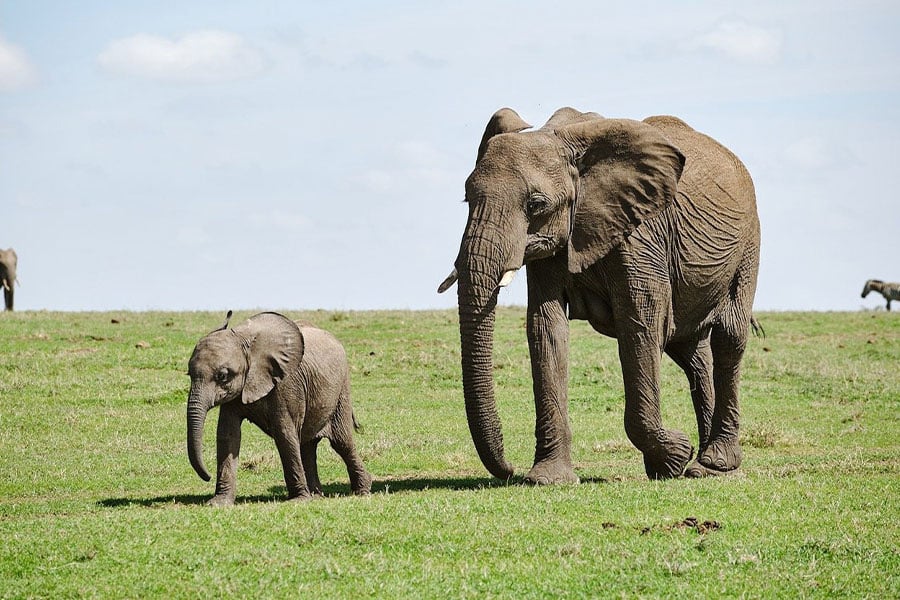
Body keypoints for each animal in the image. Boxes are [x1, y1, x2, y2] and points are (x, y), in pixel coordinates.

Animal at [186, 311, 372, 505]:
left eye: (222, 376)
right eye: (189, 374)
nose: (207, 476)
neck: (245, 340)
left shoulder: (286, 383)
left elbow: (284, 434)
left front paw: (298, 500)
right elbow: (228, 435)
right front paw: (218, 503)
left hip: (341, 391)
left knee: (341, 442)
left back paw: (362, 491)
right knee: (307, 446)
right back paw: (316, 495)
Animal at [438, 107, 760, 483]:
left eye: (536, 205)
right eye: (467, 199)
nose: (508, 470)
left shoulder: (640, 233)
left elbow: (641, 323)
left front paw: (673, 457)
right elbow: (546, 327)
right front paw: (548, 479)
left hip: (748, 242)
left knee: (728, 336)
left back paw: (713, 464)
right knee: (692, 352)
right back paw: (701, 465)